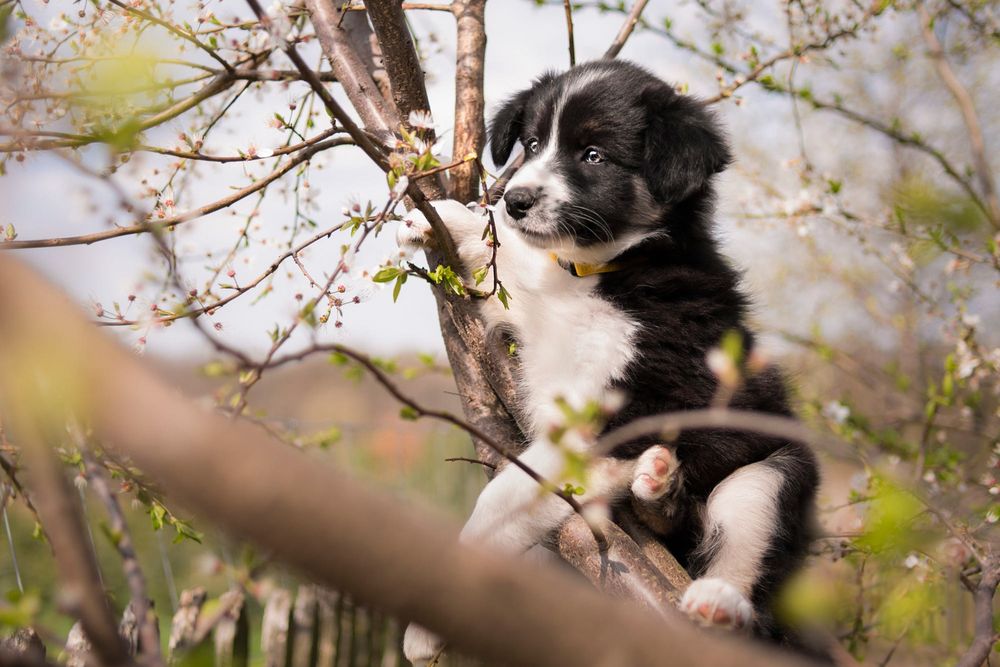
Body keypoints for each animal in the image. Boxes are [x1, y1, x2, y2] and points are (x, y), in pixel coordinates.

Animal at [398, 61, 820, 664]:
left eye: (593, 155)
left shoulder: (619, 414)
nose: (515, 200)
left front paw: (425, 623)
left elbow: (499, 501)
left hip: (769, 472)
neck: (602, 271)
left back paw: (718, 604)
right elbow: (507, 260)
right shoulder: (535, 308)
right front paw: (446, 221)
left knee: (748, 550)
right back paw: (659, 487)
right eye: (532, 144)